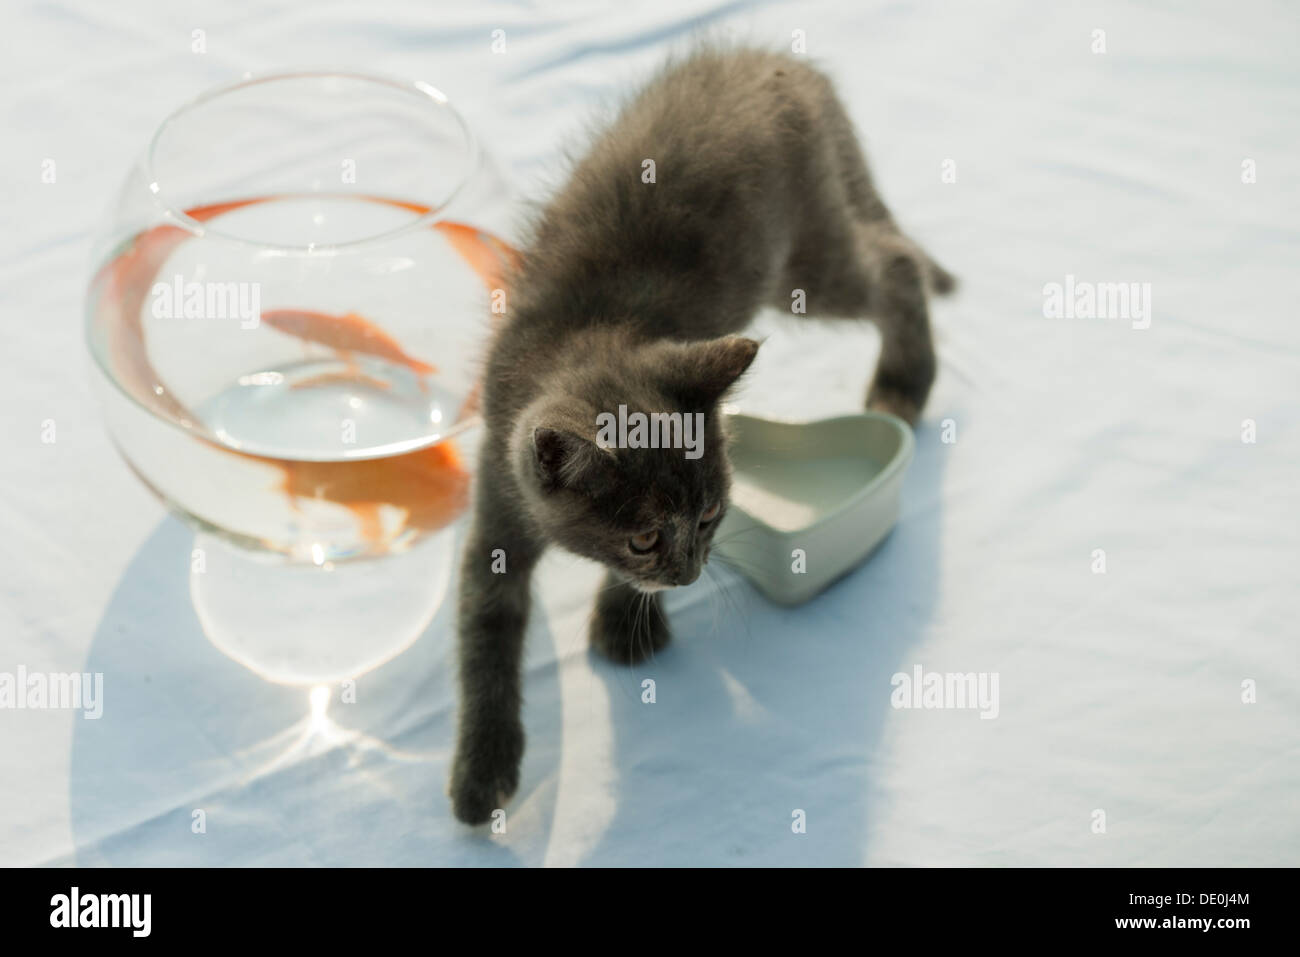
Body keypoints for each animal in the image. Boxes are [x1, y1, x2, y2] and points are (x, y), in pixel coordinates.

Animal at [449, 44, 956, 821]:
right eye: (645, 536)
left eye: (712, 514)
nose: (690, 572)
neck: (582, 334)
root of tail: (780, 61)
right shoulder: (499, 494)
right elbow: (485, 632)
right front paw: (482, 771)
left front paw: (625, 623)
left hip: (805, 261)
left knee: (892, 261)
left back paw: (905, 381)